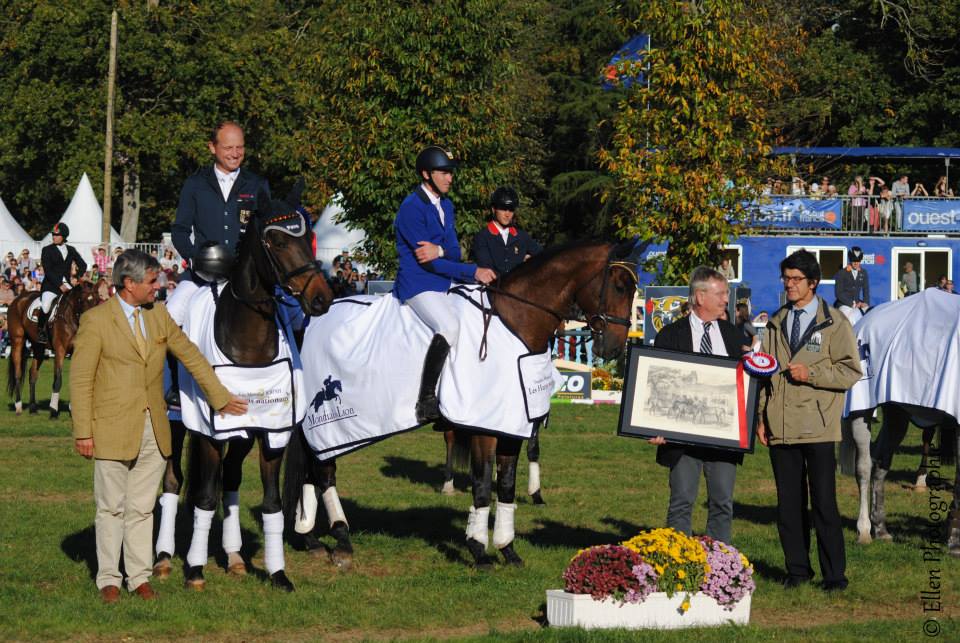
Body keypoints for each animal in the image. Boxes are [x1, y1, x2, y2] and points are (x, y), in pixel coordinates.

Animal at [5, 282, 101, 418]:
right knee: (18, 373)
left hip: (38, 347)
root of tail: (18, 299)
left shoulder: (75, 351)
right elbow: (58, 379)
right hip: (17, 341)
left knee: (32, 374)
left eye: (97, 300)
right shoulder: (60, 350)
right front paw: (53, 411)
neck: (71, 317)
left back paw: (33, 408)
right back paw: (18, 406)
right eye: (81, 301)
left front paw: (73, 411)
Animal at [284, 240, 640, 568]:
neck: (515, 321)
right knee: (324, 472)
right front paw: (479, 550)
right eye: (619, 286)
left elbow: (506, 487)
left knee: (310, 471)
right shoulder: (483, 428)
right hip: (328, 426)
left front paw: (508, 549)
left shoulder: (512, 426)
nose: (613, 348)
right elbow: (482, 487)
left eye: (635, 289)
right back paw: (341, 539)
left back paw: (310, 537)